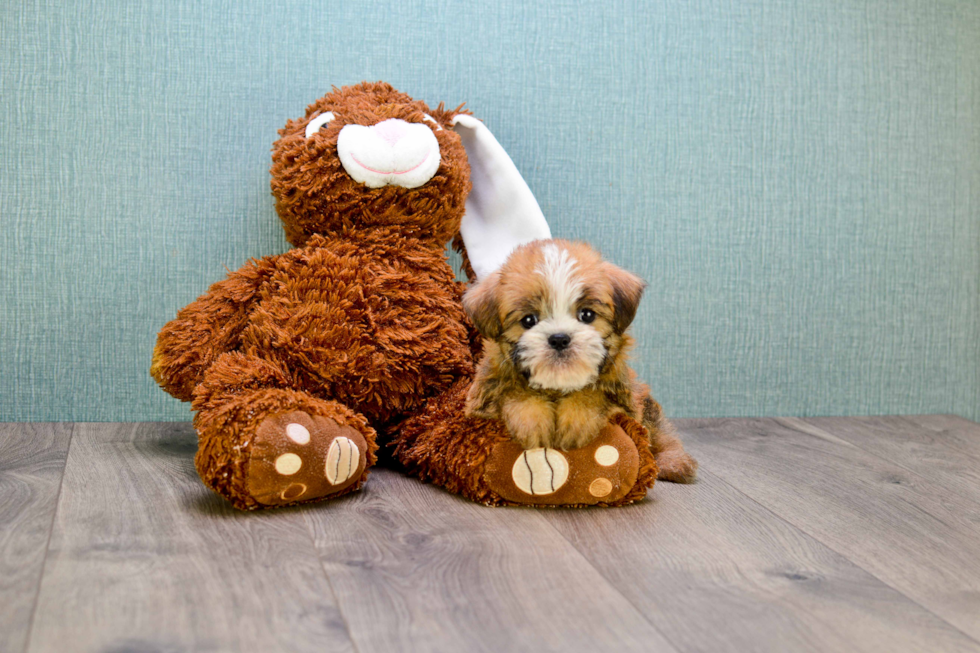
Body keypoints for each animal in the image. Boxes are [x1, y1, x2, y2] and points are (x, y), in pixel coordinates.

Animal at [462, 239, 696, 484]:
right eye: (528, 320)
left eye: (587, 315)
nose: (559, 338)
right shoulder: (483, 401)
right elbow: (514, 393)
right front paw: (532, 421)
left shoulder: (626, 401)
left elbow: (594, 394)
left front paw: (577, 419)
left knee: (661, 431)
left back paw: (673, 461)